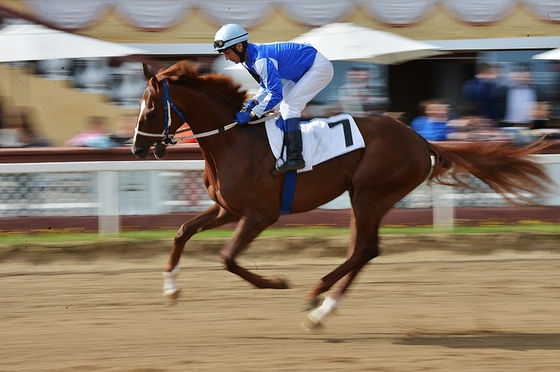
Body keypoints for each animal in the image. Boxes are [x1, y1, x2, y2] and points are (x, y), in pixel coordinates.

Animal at [132, 61, 552, 332]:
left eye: (150, 110)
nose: (136, 149)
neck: (233, 140)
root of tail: (420, 140)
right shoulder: (226, 209)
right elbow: (182, 232)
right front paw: (170, 289)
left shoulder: (260, 215)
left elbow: (227, 258)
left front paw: (278, 282)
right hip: (364, 197)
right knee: (363, 250)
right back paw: (323, 309)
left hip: (370, 194)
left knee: (365, 249)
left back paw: (315, 298)